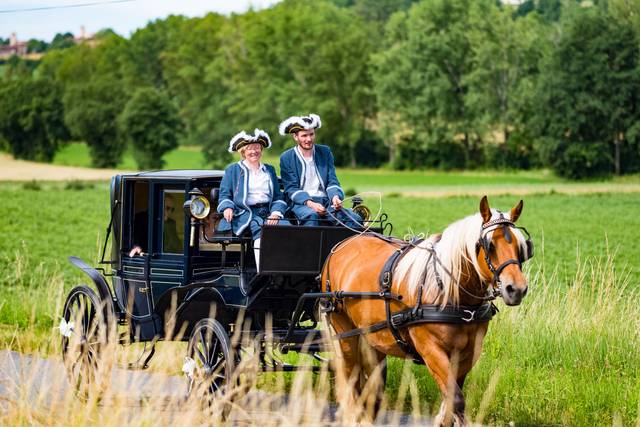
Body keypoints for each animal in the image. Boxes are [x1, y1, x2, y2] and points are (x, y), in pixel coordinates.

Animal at [322, 196, 532, 424]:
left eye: (521, 247)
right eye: (489, 245)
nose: (516, 289)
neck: (452, 294)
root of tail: (342, 244)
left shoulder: (468, 353)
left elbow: (450, 401)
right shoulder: (430, 350)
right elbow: (456, 399)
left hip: (372, 338)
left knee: (373, 389)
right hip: (345, 332)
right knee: (350, 377)